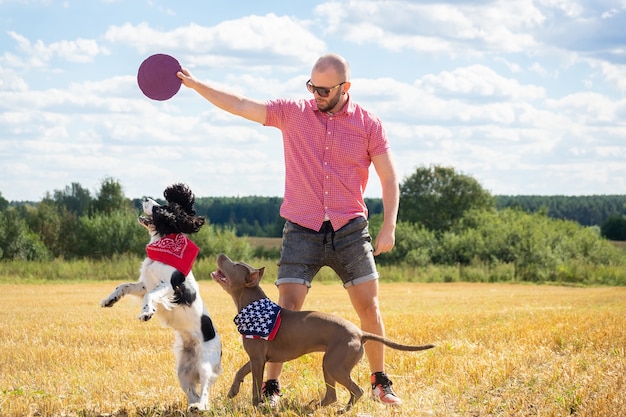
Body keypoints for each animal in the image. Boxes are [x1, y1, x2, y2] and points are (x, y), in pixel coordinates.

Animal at [99, 182, 219, 410]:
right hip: (182, 370)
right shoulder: (144, 284)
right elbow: (123, 286)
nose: (145, 197)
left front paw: (147, 313)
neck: (165, 243)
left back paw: (200, 407)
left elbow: (151, 296)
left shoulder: (171, 287)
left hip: (207, 364)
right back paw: (192, 408)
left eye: (158, 209)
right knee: (192, 391)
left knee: (206, 391)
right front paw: (109, 300)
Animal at [210, 252, 434, 408]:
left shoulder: (258, 359)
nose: (220, 255)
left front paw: (257, 406)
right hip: (330, 365)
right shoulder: (257, 357)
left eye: (235, 265)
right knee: (332, 395)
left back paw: (343, 410)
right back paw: (314, 407)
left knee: (357, 390)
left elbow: (255, 385)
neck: (251, 305)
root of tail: (360, 333)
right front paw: (233, 391)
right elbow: (240, 370)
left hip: (335, 364)